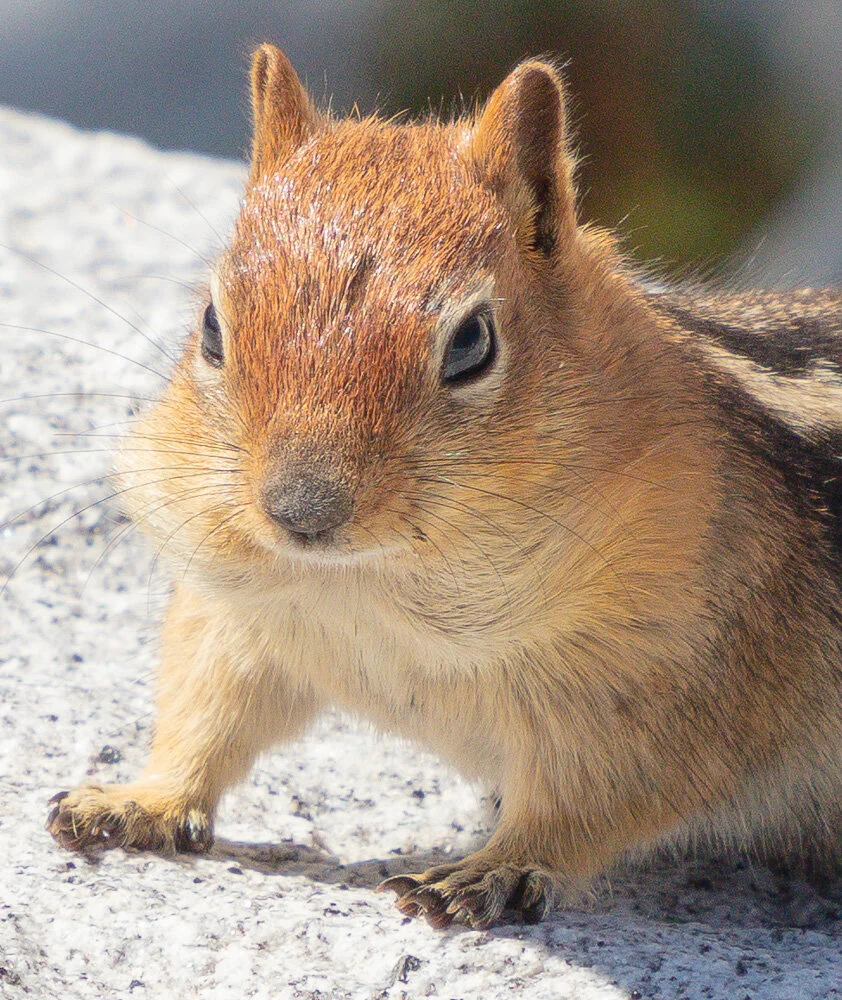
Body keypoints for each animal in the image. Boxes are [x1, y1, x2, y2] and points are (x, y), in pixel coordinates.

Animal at [47, 44, 842, 930]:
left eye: (471, 343)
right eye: (214, 328)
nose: (300, 512)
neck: (377, 588)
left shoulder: (670, 680)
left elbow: (591, 800)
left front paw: (488, 869)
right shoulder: (234, 617)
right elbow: (202, 713)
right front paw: (137, 799)